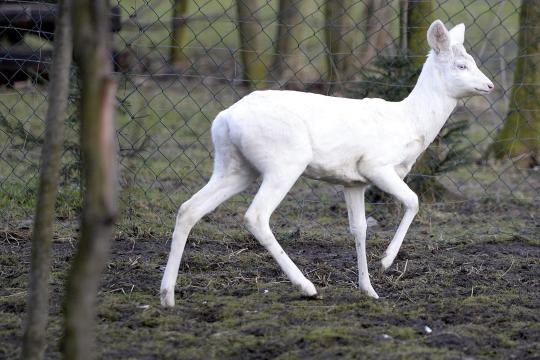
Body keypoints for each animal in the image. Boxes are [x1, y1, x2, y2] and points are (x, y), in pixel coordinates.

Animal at [159, 20, 494, 306]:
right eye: (461, 64)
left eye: (474, 61)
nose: (490, 85)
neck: (410, 123)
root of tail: (225, 119)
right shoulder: (375, 165)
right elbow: (413, 201)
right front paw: (385, 262)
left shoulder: (353, 181)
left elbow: (359, 228)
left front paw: (368, 289)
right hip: (283, 162)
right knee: (255, 216)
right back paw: (306, 286)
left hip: (234, 166)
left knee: (189, 208)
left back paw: (167, 296)